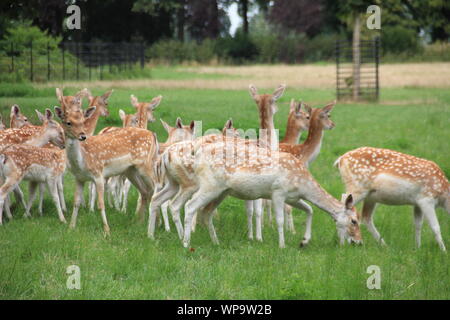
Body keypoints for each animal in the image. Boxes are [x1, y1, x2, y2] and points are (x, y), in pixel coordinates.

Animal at [54, 106, 158, 234]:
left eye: (83, 121)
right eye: (68, 122)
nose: (82, 136)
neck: (82, 160)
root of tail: (152, 134)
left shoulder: (98, 173)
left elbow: (101, 204)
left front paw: (107, 230)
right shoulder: (79, 178)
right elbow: (76, 202)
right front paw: (71, 227)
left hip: (145, 165)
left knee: (156, 189)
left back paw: (156, 224)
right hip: (131, 170)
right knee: (145, 191)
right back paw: (140, 222)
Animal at [179, 139, 362, 249]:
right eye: (354, 221)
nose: (359, 242)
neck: (303, 184)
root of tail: (197, 154)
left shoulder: (293, 197)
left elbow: (310, 210)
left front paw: (304, 241)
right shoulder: (278, 192)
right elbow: (280, 220)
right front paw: (282, 245)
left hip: (221, 191)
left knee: (206, 212)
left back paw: (215, 242)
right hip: (210, 185)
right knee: (190, 205)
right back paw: (186, 243)